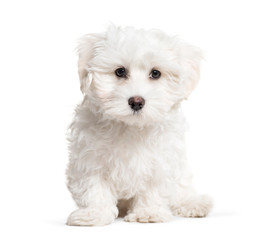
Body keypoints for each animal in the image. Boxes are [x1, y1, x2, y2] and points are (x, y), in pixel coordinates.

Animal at [66, 25, 212, 226]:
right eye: (120, 72)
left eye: (156, 73)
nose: (136, 101)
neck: (130, 127)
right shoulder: (90, 158)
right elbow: (94, 188)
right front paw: (93, 214)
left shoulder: (161, 159)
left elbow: (153, 187)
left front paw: (149, 213)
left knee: (183, 187)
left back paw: (193, 203)